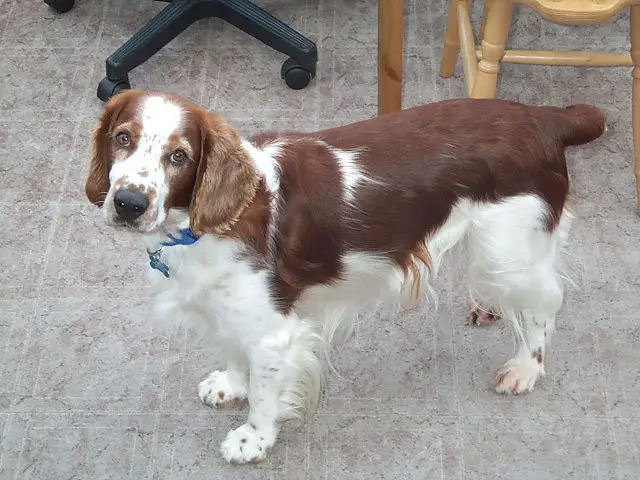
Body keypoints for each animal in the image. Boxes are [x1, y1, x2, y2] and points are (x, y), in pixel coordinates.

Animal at [85, 89, 604, 462]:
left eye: (179, 156)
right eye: (123, 137)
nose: (128, 204)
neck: (212, 222)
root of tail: (542, 117)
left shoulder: (275, 331)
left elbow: (265, 393)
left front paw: (252, 441)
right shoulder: (226, 307)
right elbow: (232, 351)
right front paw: (228, 385)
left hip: (510, 247)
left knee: (545, 303)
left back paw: (524, 368)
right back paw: (489, 308)